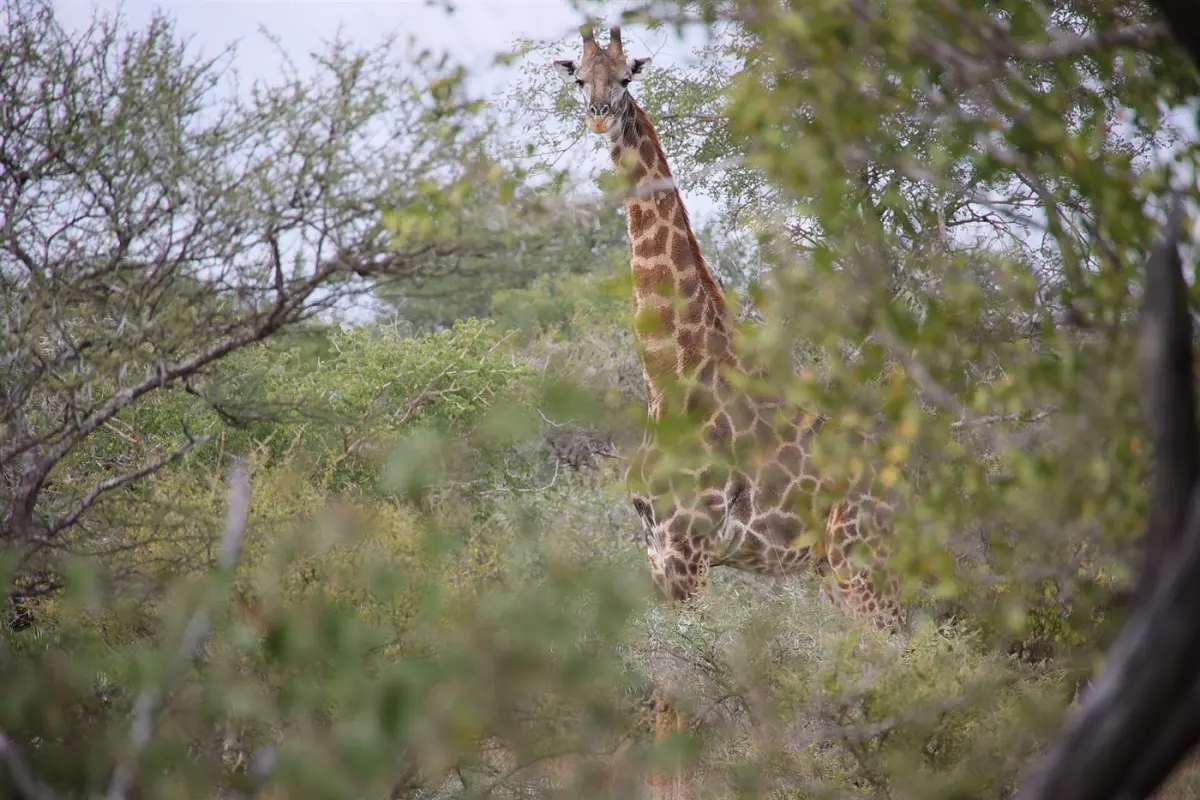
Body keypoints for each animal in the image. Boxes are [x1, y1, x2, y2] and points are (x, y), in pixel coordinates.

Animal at [553, 24, 909, 798]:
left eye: (627, 76)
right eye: (579, 78)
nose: (598, 117)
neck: (669, 374)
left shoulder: (688, 549)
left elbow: (680, 698)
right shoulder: (656, 551)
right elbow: (666, 686)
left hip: (860, 568)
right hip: (839, 576)